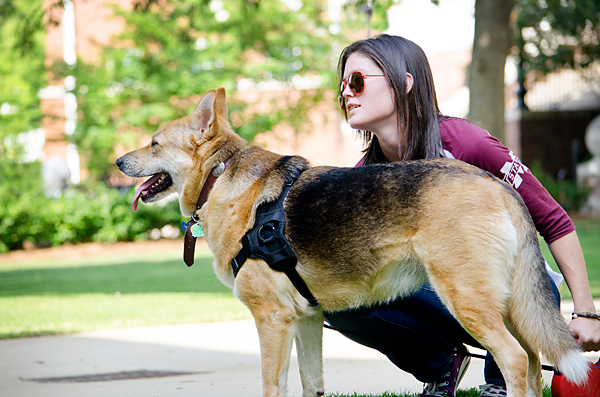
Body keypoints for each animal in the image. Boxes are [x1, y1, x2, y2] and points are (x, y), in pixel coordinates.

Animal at [118, 87, 592, 396]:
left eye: (154, 143)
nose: (119, 160)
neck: (220, 180)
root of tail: (499, 186)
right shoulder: (306, 321)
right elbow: (312, 385)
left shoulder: (272, 320)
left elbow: (272, 387)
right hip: (510, 308)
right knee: (532, 366)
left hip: (469, 302)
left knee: (513, 361)